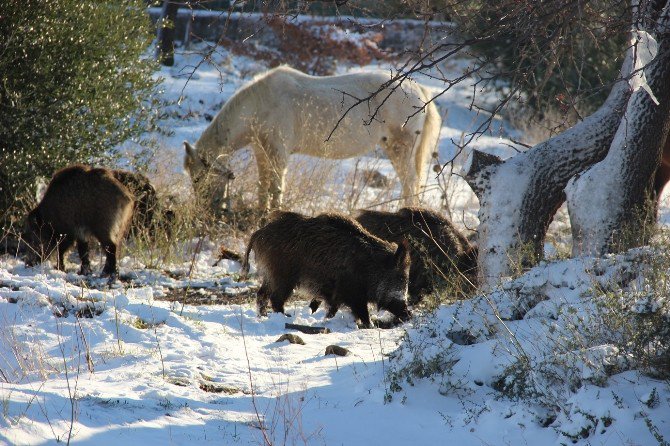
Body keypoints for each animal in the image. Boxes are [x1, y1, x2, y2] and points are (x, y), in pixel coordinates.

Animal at [184, 64, 444, 214]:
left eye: (198, 178)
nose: (203, 210)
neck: (260, 104)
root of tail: (420, 90)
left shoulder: (278, 153)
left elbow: (276, 188)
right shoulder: (262, 152)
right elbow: (262, 187)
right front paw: (260, 214)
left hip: (399, 149)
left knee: (410, 183)